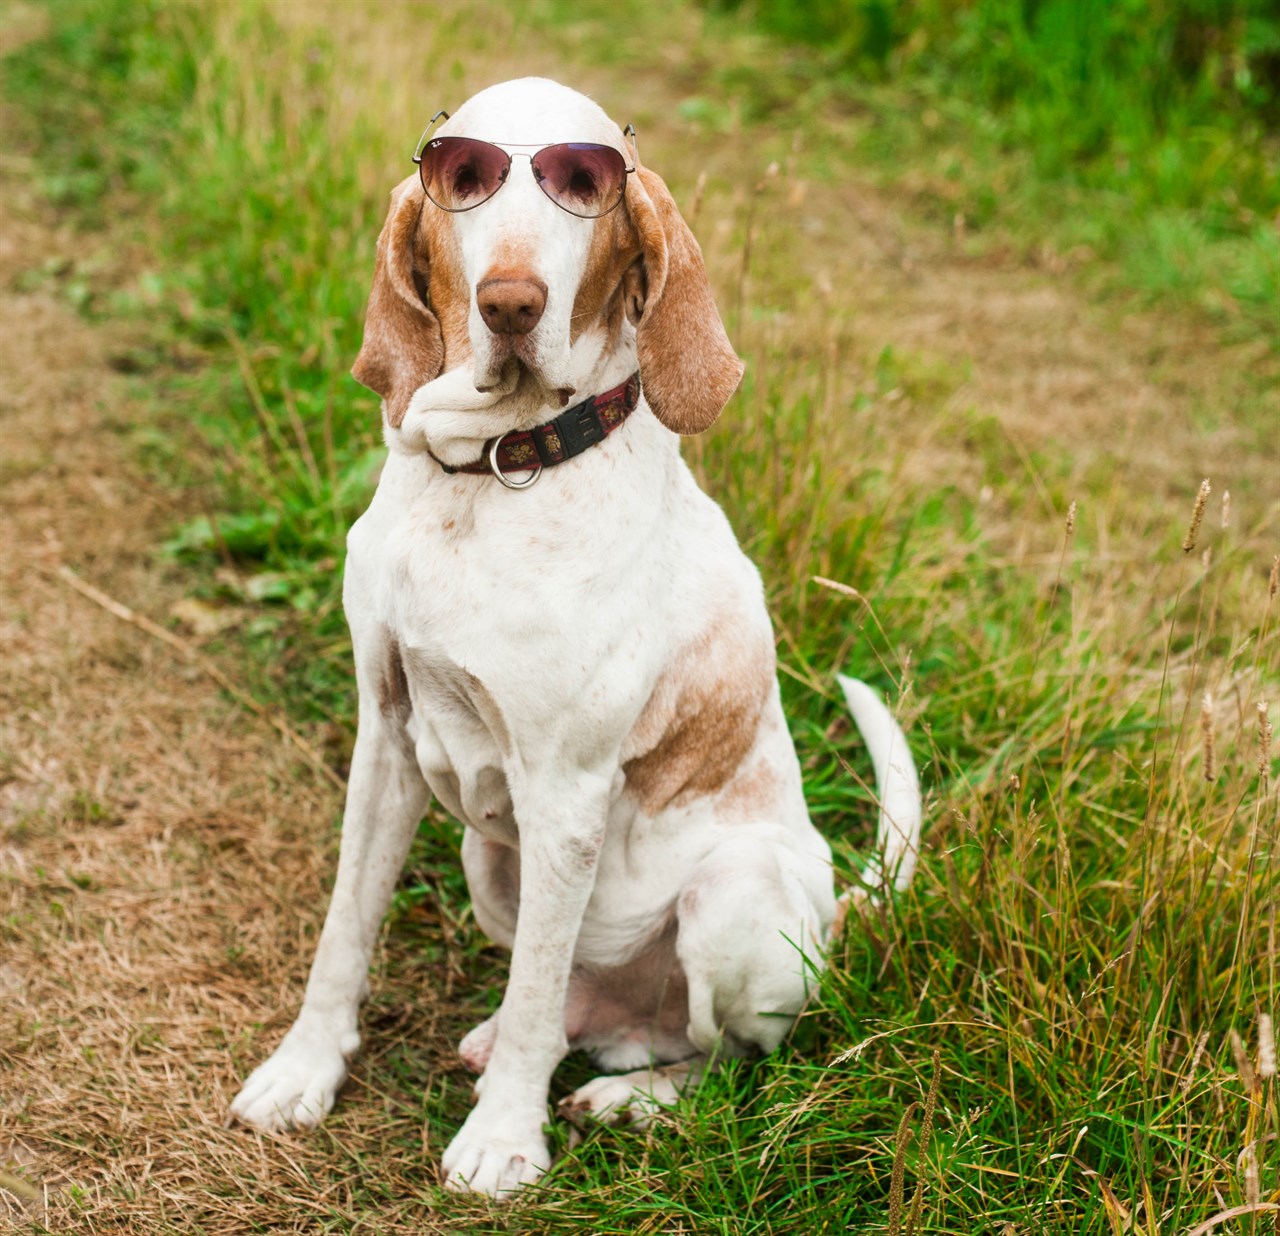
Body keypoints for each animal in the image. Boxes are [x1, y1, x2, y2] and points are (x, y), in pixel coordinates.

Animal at [230, 74, 926, 1197]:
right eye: (462, 176)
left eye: (582, 185)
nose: (510, 304)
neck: (493, 476)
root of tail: (833, 919)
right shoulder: (386, 738)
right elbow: (346, 932)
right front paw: (304, 1072)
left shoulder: (564, 794)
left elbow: (538, 999)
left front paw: (504, 1141)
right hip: (486, 856)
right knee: (567, 1006)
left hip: (729, 894)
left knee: (725, 1058)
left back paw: (634, 1097)